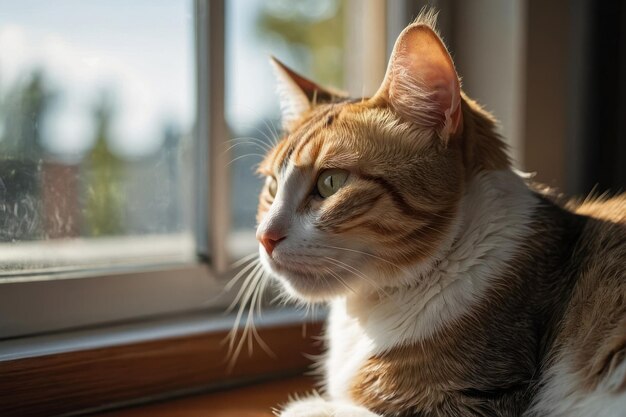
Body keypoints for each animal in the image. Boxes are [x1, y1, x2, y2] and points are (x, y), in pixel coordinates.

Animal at [254, 9, 624, 416]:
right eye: (272, 187)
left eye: (331, 182)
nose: (264, 237)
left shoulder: (486, 396)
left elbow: (326, 408)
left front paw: (314, 404)